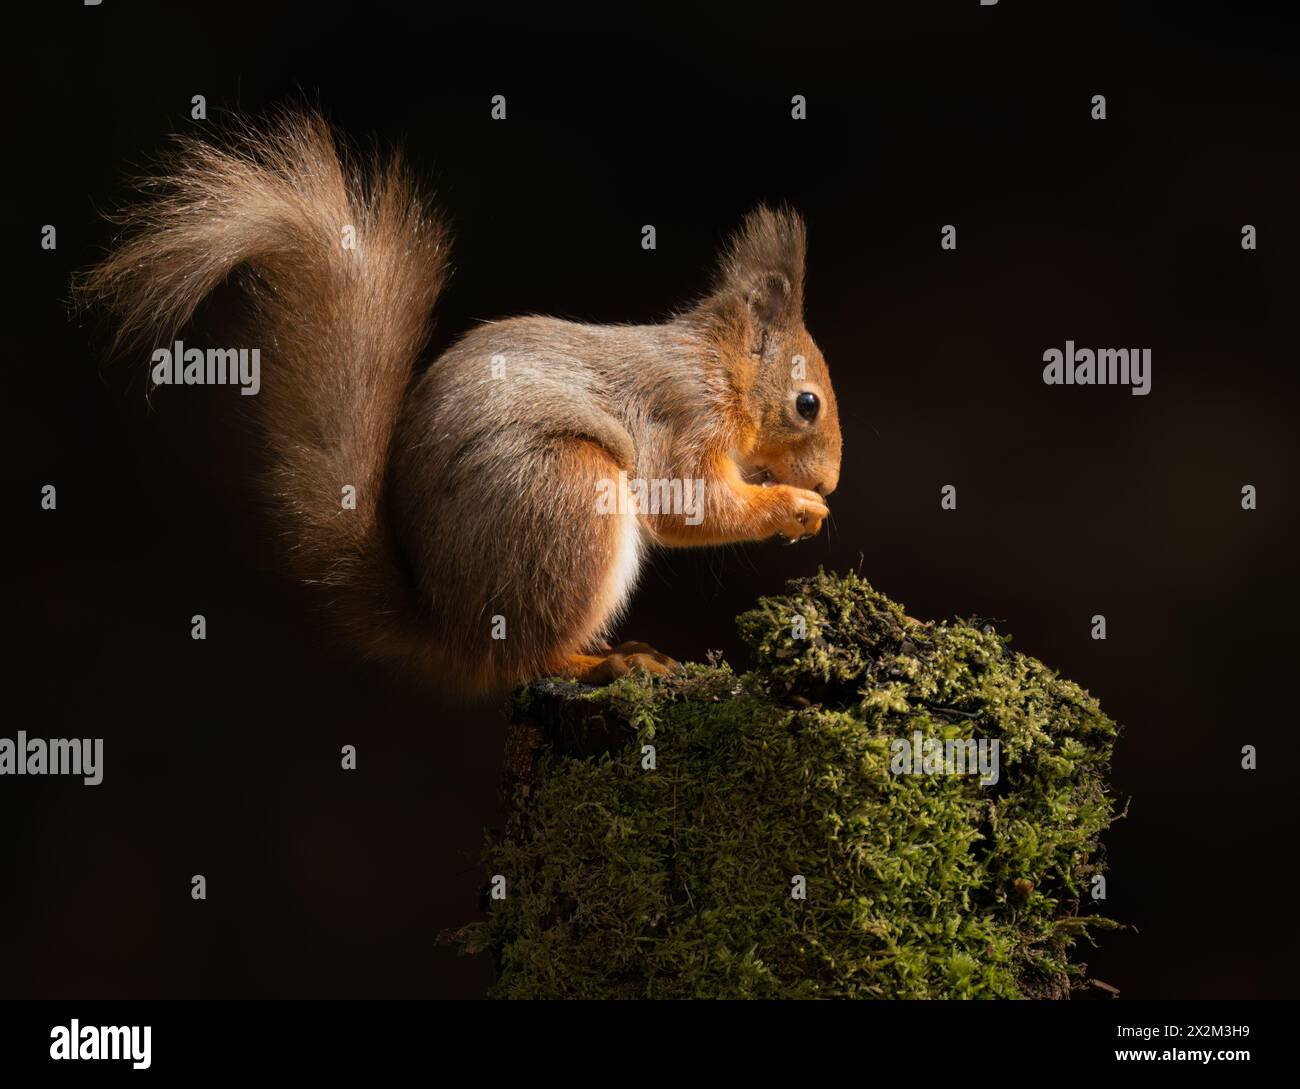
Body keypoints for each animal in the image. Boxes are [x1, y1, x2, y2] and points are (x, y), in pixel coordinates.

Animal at [77, 110, 842, 696]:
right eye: (807, 403)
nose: (832, 482)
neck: (720, 371)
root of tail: (456, 630)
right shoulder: (682, 417)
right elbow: (691, 505)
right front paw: (796, 507)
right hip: (568, 496)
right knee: (530, 657)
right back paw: (608, 662)